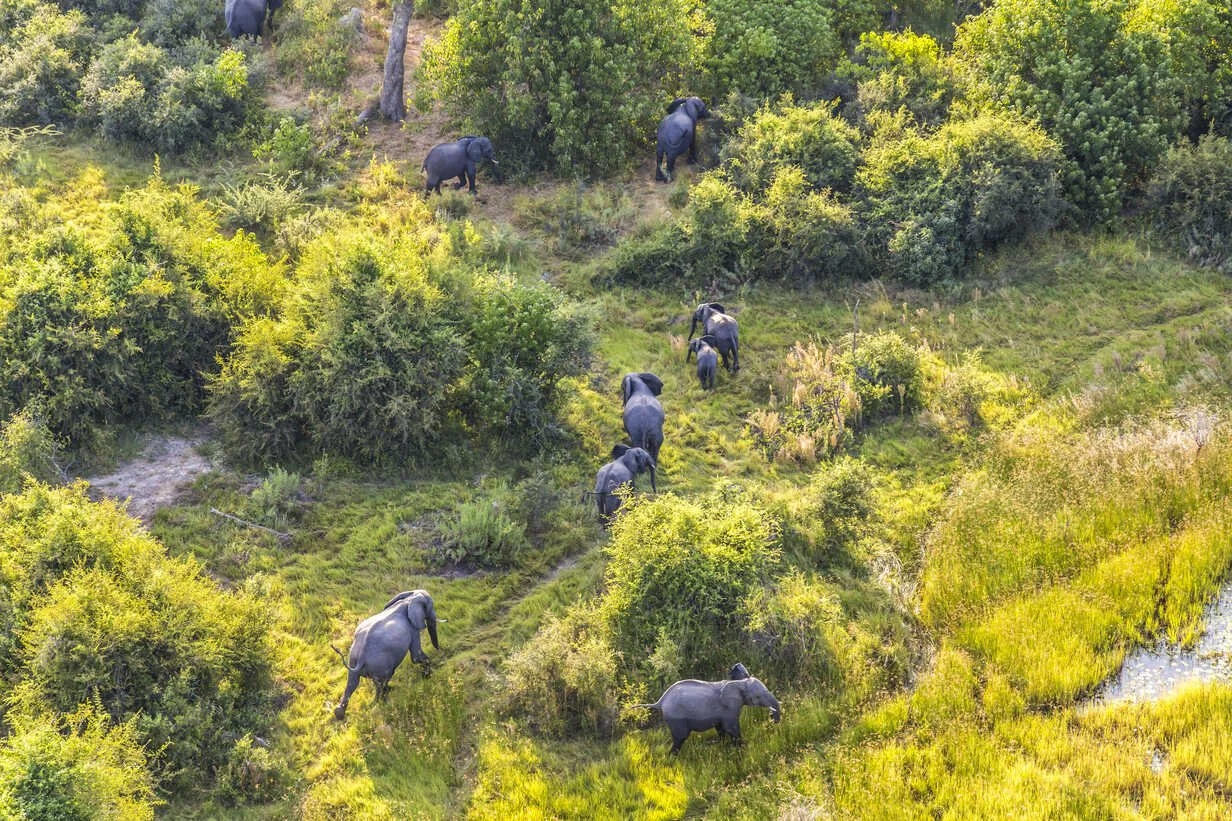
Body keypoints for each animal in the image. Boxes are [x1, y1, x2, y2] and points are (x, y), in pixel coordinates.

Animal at [332, 589, 442, 720]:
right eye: (431, 607)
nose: (439, 650)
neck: (409, 599)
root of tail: (362, 656)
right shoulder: (412, 628)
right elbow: (416, 656)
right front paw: (429, 675)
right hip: (380, 664)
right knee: (382, 681)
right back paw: (380, 702)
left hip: (353, 659)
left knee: (352, 683)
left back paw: (341, 713)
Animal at [633, 668, 781, 754]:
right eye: (758, 697)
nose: (773, 720)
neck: (739, 683)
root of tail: (660, 701)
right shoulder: (729, 709)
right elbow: (731, 728)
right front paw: (742, 748)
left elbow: (721, 729)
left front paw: (723, 745)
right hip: (676, 719)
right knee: (680, 738)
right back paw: (673, 757)